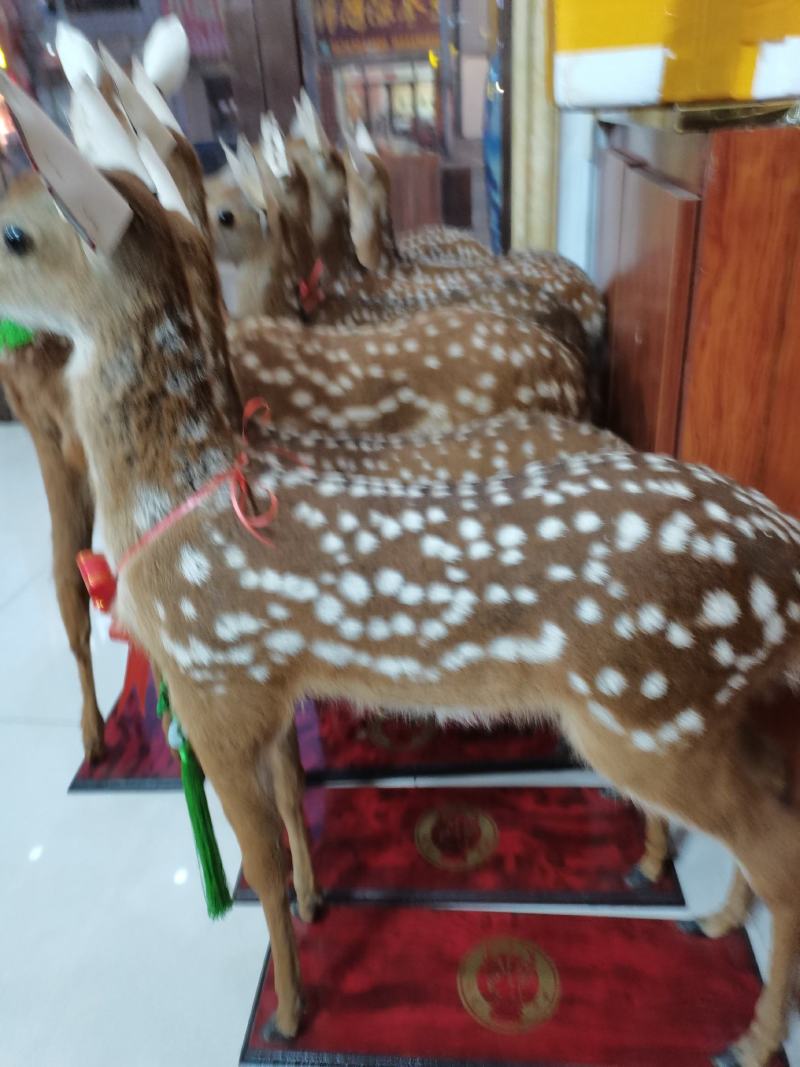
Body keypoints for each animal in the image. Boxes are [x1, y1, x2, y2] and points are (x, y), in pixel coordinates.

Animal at [3, 78, 799, 1067]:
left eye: (14, 231)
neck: (182, 490)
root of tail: (786, 550)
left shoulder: (209, 676)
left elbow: (258, 859)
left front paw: (290, 1009)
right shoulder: (266, 681)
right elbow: (295, 805)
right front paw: (317, 900)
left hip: (651, 713)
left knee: (782, 849)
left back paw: (749, 1030)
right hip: (708, 713)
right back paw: (716, 923)